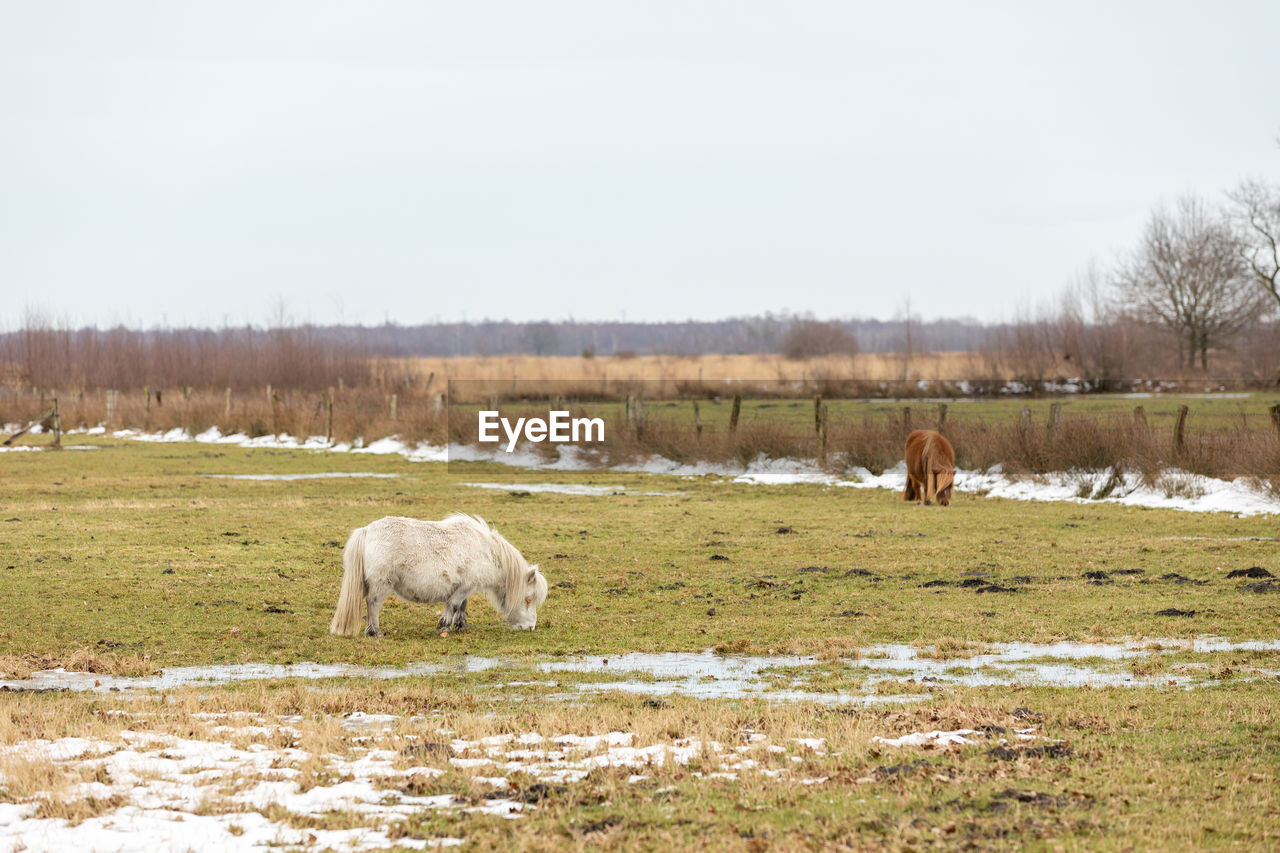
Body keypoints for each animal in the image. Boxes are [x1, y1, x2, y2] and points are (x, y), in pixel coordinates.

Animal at [330, 512, 545, 630]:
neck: (486, 550)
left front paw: (462, 626)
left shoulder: (465, 586)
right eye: (528, 599)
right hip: (381, 583)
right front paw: (444, 626)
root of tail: (366, 531)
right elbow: (454, 604)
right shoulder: (465, 586)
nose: (530, 627)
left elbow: (462, 606)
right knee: (373, 604)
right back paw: (375, 632)